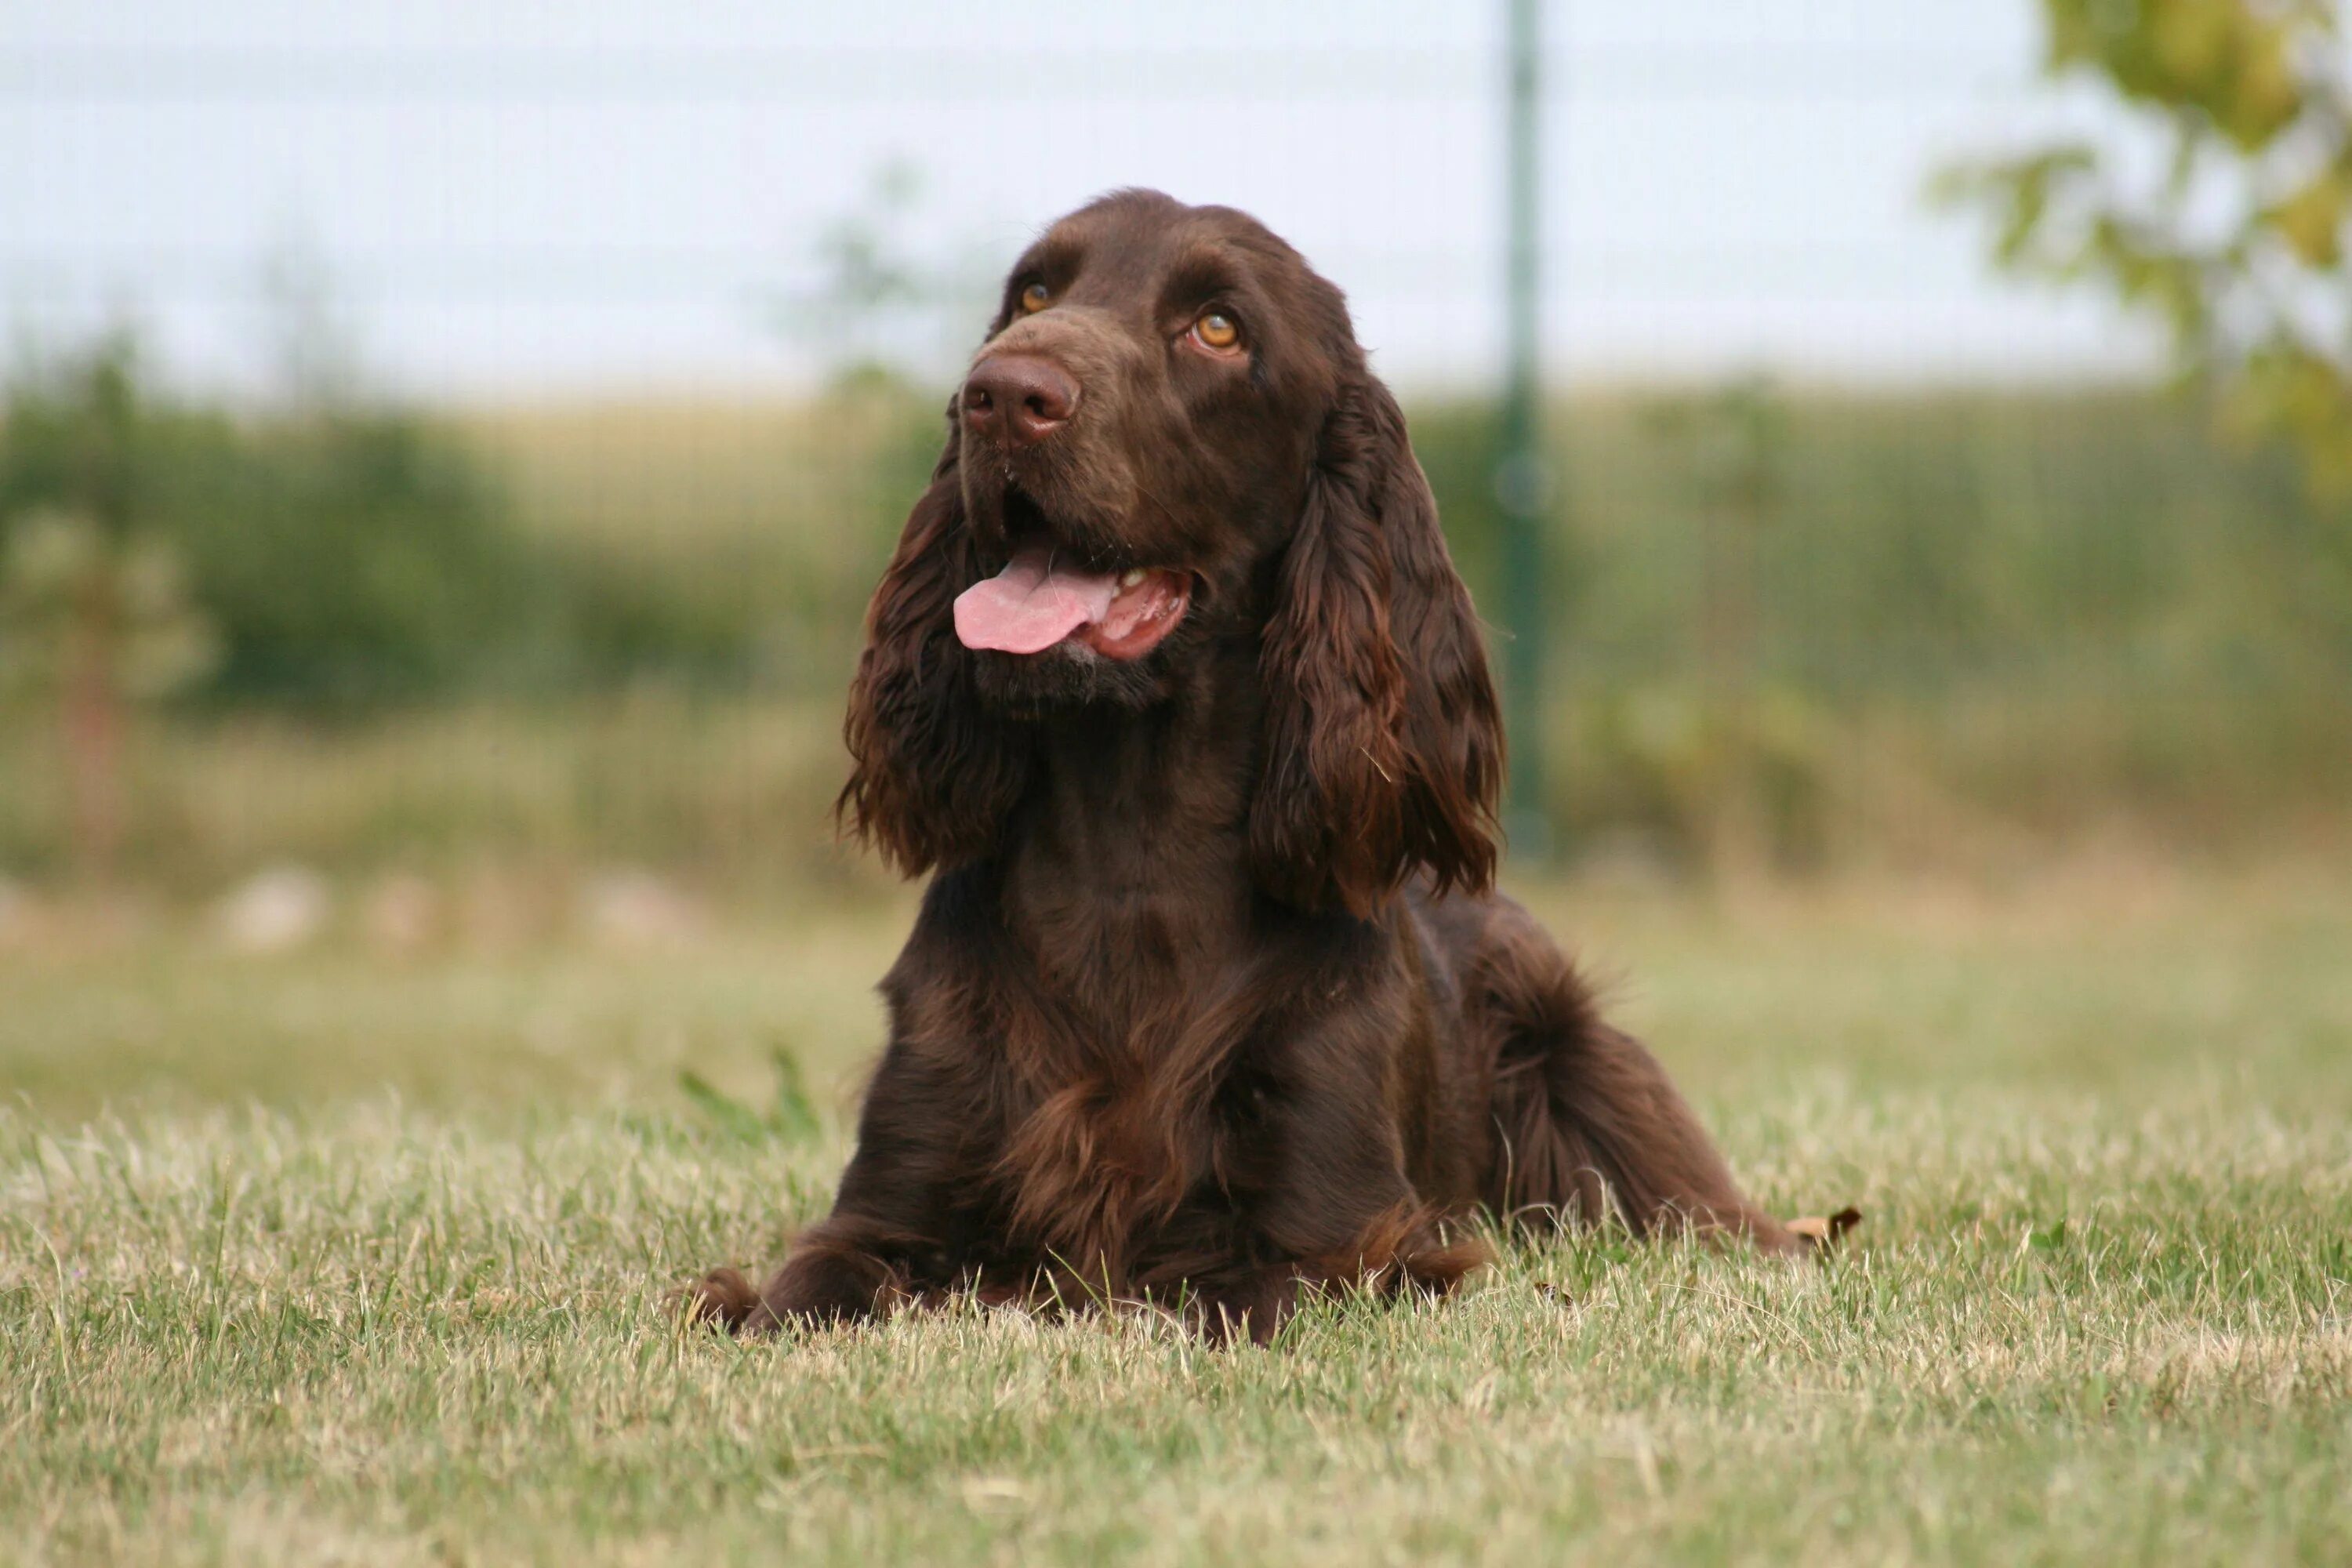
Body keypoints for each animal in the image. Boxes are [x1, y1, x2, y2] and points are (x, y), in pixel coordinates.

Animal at [687, 187, 1825, 1354]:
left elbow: (1238, 1298)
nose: (1001, 395)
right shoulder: (886, 1208)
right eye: (1033, 295)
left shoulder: (1339, 1240)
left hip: (1588, 1078)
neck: (1133, 850)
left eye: (1219, 328)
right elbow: (801, 1294)